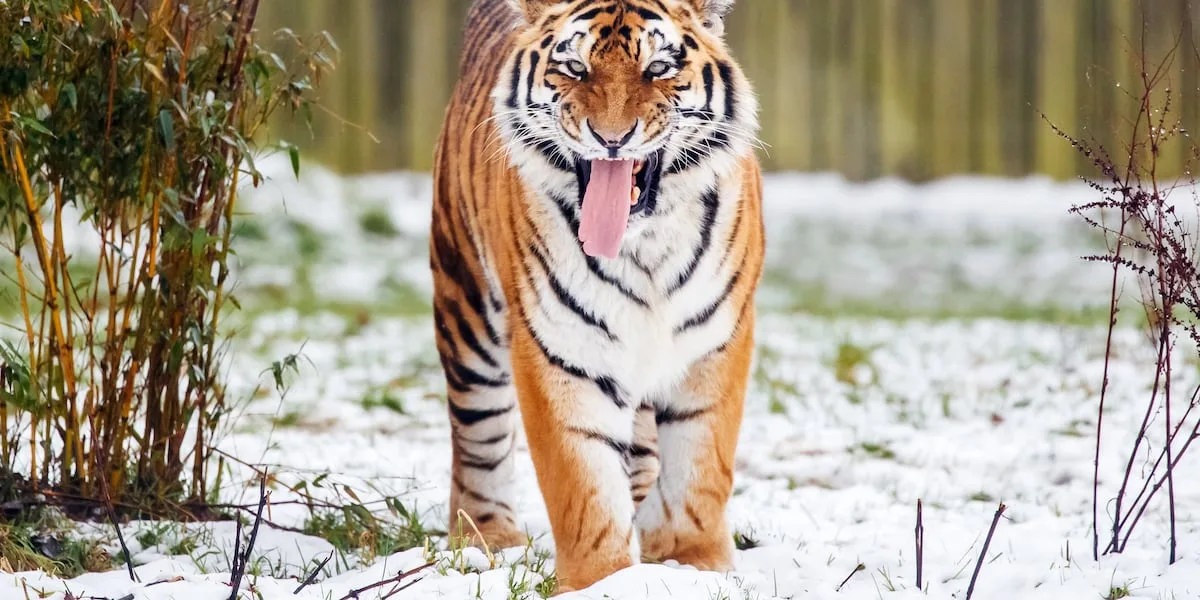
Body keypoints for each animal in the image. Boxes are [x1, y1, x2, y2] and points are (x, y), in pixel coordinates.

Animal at [430, 0, 763, 592]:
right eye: (575, 69)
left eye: (657, 69)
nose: (612, 138)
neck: (644, 246)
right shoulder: (559, 348)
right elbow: (583, 483)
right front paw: (603, 581)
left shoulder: (715, 340)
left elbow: (700, 466)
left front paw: (694, 564)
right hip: (466, 309)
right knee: (477, 437)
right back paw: (488, 539)